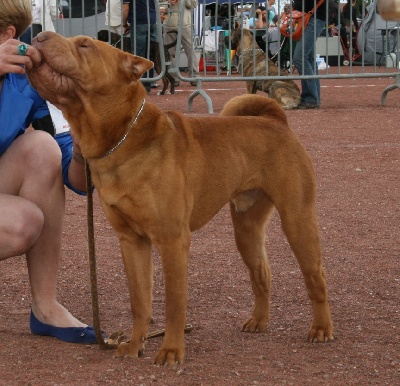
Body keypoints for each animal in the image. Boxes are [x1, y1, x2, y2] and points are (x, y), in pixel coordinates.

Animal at [26, 32, 334, 364]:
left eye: (85, 45)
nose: (40, 35)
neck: (121, 138)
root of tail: (277, 120)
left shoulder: (172, 239)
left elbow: (174, 302)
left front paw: (171, 349)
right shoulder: (132, 240)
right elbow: (140, 301)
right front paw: (134, 345)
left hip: (297, 219)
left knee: (316, 276)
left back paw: (321, 328)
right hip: (247, 227)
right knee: (261, 273)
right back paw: (258, 321)